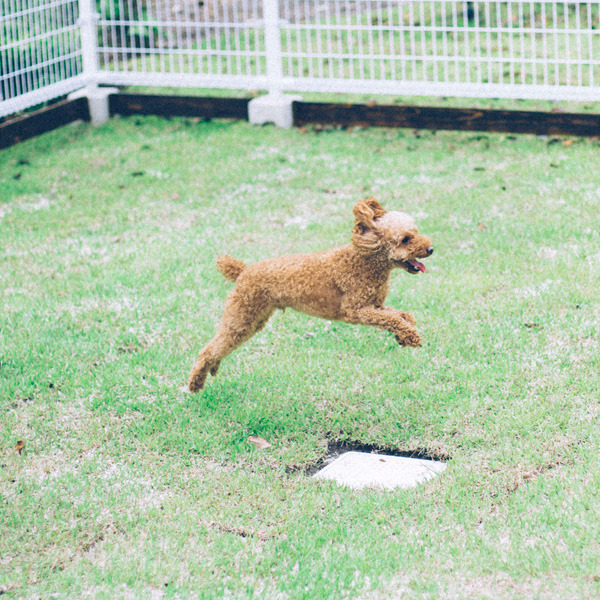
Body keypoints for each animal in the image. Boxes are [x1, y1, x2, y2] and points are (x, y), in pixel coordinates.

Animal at [188, 198, 432, 394]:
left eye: (416, 232)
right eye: (405, 239)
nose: (431, 249)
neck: (366, 261)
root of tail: (243, 271)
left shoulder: (375, 305)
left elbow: (398, 316)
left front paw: (404, 333)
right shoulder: (356, 310)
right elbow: (390, 319)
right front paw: (411, 337)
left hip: (253, 320)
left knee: (219, 347)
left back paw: (212, 368)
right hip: (242, 316)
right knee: (208, 350)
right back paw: (195, 383)